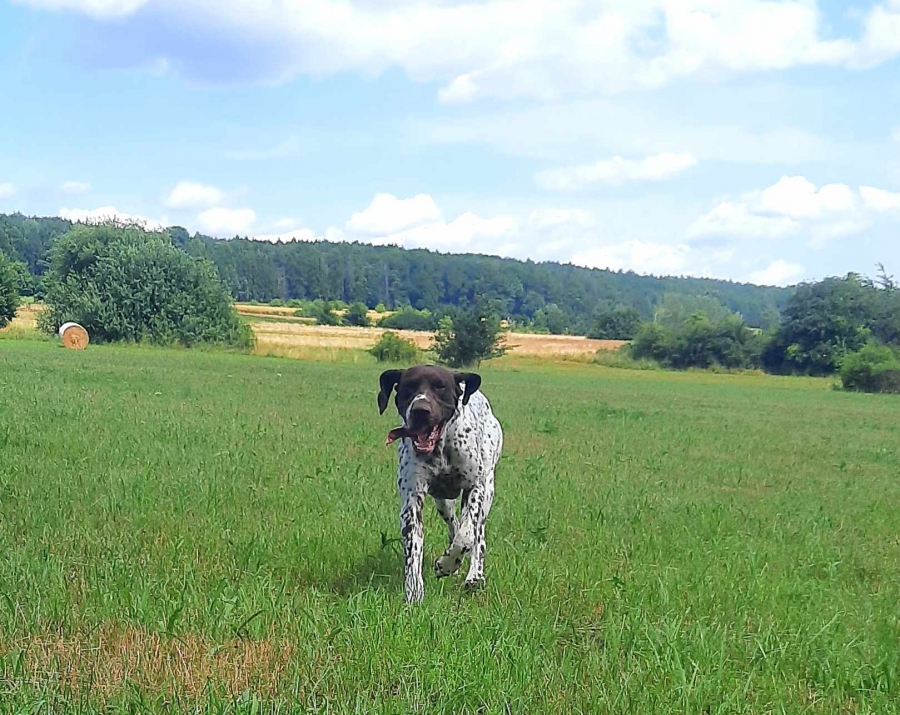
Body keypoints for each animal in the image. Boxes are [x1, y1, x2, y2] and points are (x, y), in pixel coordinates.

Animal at [378, 364, 503, 603]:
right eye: (409, 386)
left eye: (440, 387)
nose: (421, 410)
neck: (440, 449)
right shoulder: (412, 500)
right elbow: (414, 547)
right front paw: (414, 590)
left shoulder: (474, 488)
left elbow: (466, 536)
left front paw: (446, 565)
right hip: (443, 503)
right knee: (454, 524)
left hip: (487, 492)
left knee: (478, 537)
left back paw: (474, 575)